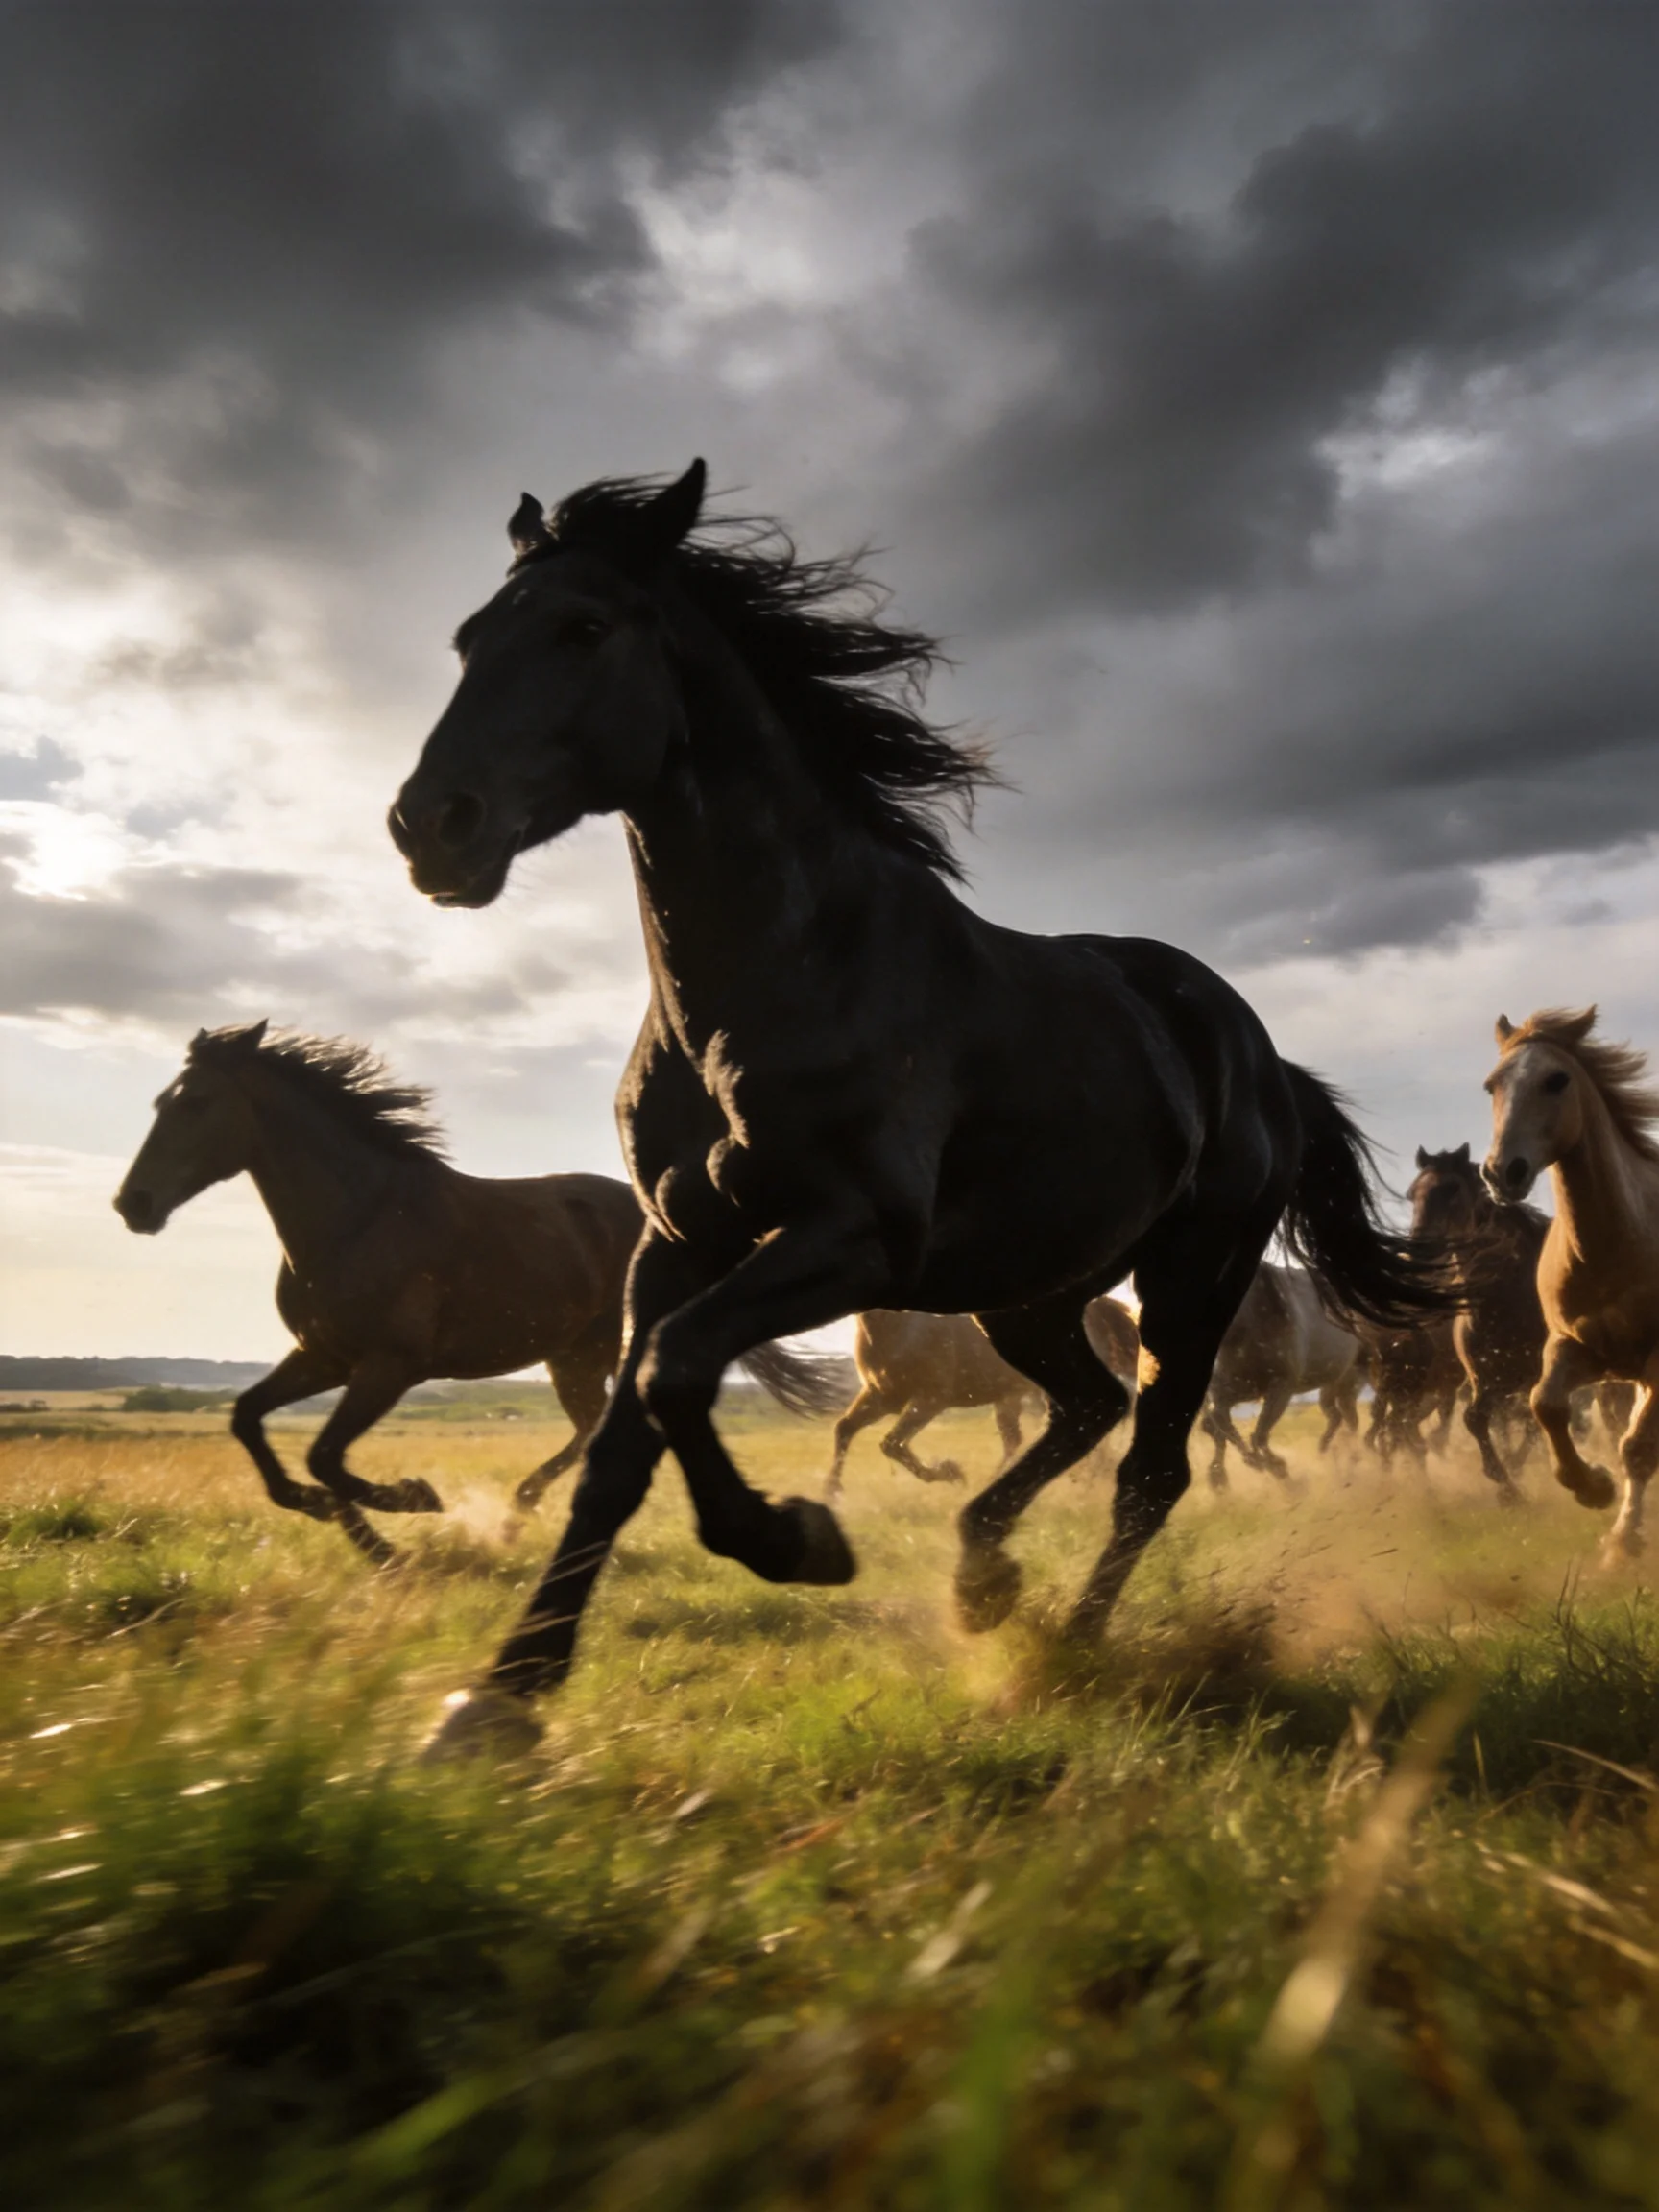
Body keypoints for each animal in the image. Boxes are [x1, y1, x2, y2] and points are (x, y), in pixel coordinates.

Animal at [113, 1023, 839, 1561]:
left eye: (196, 1102)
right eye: (159, 1103)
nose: (132, 1204)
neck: (358, 1218)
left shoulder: (390, 1366)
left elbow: (325, 1454)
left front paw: (409, 1503)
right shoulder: (324, 1357)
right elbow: (250, 1419)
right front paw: (342, 1523)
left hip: (595, 1352)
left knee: (599, 1429)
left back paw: (518, 1512)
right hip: (571, 1357)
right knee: (588, 1428)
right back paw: (520, 1514)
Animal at [825, 1297, 1141, 1500]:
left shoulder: (930, 1399)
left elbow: (891, 1444)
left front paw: (951, 1472)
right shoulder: (882, 1397)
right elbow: (845, 1428)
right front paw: (833, 1491)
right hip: (1010, 1401)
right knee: (1016, 1442)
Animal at [1199, 1261, 1363, 1487]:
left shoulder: (1281, 1388)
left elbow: (1259, 1434)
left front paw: (1279, 1469)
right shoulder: (1227, 1392)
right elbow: (1221, 1426)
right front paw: (1220, 1476)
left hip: (1350, 1379)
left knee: (1351, 1420)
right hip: (1334, 1383)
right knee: (1339, 1417)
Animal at [1406, 1143, 1547, 1502]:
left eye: (1453, 1189)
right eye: (1412, 1194)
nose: (1419, 1256)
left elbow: (1531, 1421)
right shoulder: (1485, 1378)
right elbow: (1476, 1420)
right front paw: (1506, 1483)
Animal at [1484, 1006, 1659, 1558]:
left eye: (1556, 1080)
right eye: (1492, 1085)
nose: (1502, 1172)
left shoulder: (1656, 1359)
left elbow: (1638, 1448)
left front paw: (1622, 1544)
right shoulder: (1573, 1347)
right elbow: (1546, 1405)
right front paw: (1593, 1487)